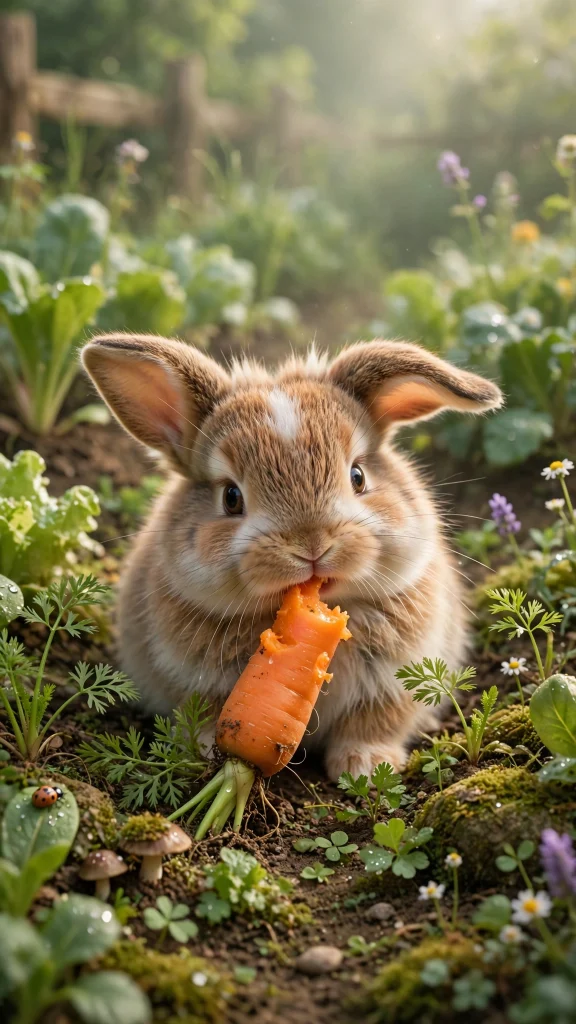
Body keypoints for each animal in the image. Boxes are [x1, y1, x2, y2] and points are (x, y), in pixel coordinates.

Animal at [82, 333, 502, 781]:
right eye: (231, 497)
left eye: (358, 476)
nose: (311, 544)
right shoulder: (195, 683)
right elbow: (204, 716)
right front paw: (208, 755)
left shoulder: (395, 683)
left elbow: (374, 723)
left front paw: (365, 767)